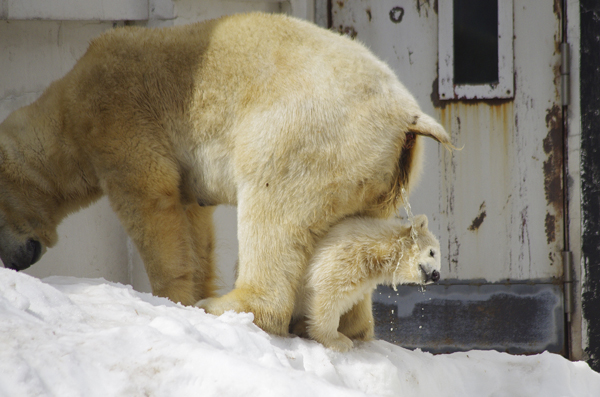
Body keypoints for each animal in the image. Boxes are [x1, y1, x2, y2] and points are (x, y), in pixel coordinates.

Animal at [0, 12, 450, 334]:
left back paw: (232, 304)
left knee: (272, 210)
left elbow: (150, 201)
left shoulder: (119, 118)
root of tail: (407, 115)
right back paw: (351, 325)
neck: (66, 108)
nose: (15, 262)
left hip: (308, 134)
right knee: (355, 231)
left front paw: (173, 297)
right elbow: (194, 222)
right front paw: (196, 287)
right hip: (374, 170)